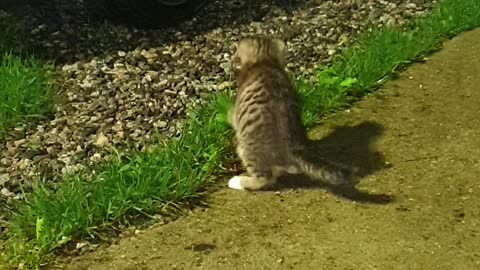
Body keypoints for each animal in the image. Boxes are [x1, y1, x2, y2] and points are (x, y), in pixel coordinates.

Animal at [227, 35, 354, 191]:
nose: (233, 58)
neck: (264, 61)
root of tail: (292, 148)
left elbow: (232, 116)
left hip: (245, 149)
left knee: (264, 179)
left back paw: (238, 182)